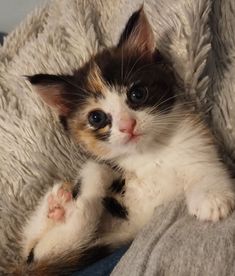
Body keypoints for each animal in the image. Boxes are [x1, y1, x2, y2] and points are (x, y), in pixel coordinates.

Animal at [12, 8, 235, 276]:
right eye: (96, 118)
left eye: (137, 94)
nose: (128, 125)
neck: (148, 154)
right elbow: (96, 169)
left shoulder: (196, 141)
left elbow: (205, 167)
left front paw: (213, 199)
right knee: (42, 248)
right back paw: (61, 205)